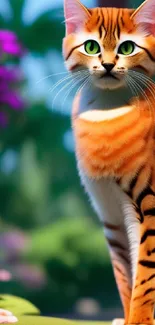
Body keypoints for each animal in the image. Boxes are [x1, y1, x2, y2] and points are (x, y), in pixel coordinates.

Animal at [63, 0, 155, 324]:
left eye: (127, 48)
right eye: (91, 46)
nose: (107, 64)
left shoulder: (150, 208)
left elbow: (145, 273)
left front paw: (140, 319)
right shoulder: (111, 215)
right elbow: (124, 272)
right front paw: (126, 317)